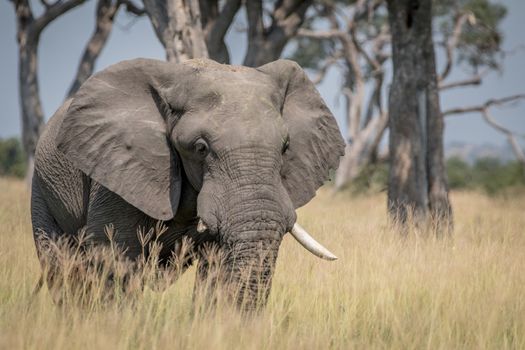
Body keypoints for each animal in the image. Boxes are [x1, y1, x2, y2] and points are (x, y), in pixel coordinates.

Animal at [31, 58, 344, 312]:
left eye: (285, 147)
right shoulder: (115, 172)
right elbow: (115, 254)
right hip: (42, 188)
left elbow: (216, 264)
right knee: (61, 264)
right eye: (200, 148)